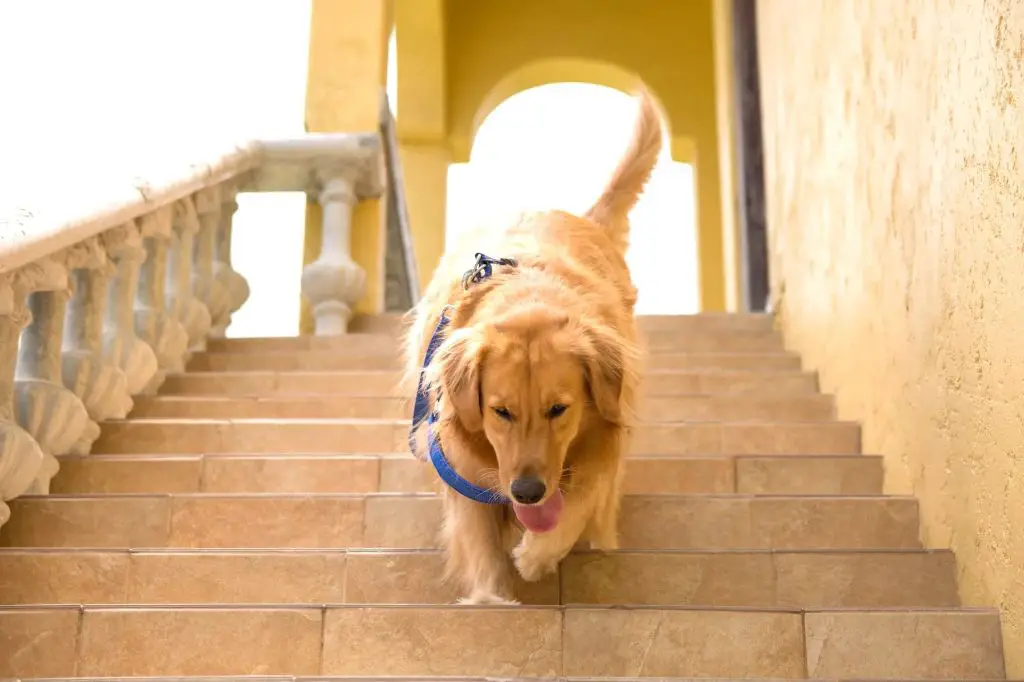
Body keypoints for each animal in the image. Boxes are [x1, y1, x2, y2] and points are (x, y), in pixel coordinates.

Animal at [403, 86, 659, 602]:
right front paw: (490, 598)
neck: (527, 297)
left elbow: (580, 501)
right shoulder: (460, 464)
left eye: (559, 409)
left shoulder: (605, 436)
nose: (526, 492)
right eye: (500, 411)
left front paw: (538, 555)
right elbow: (479, 544)